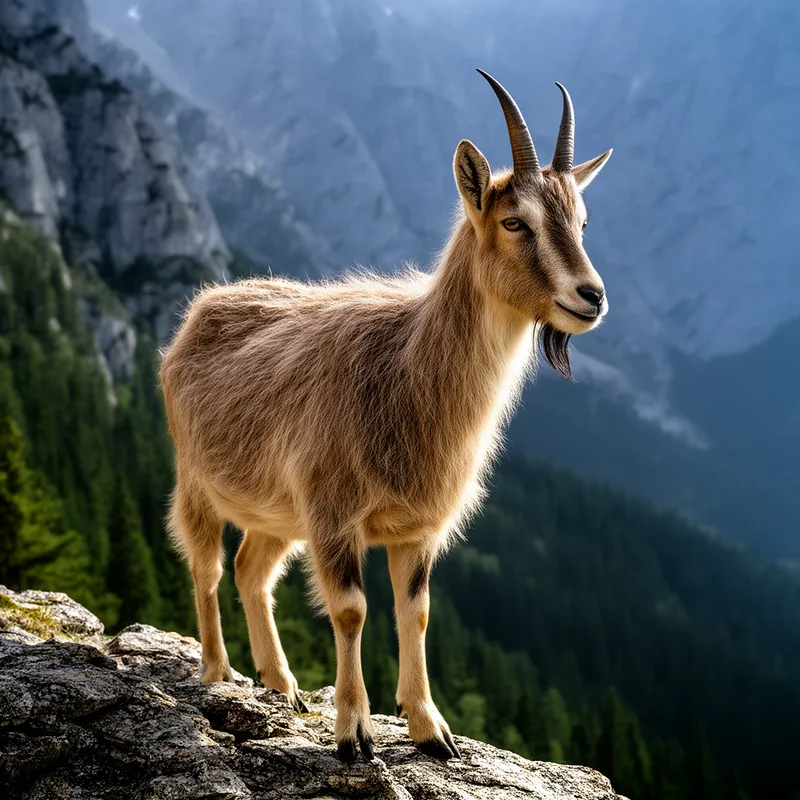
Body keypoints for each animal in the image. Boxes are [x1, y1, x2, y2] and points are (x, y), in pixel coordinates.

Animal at [160, 69, 612, 762]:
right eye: (515, 221)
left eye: (582, 220)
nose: (591, 297)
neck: (406, 373)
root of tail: (198, 313)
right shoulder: (334, 514)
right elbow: (351, 610)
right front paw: (354, 732)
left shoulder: (416, 528)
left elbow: (415, 612)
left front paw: (429, 728)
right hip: (197, 480)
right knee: (207, 564)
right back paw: (218, 670)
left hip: (279, 510)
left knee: (251, 569)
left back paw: (282, 682)